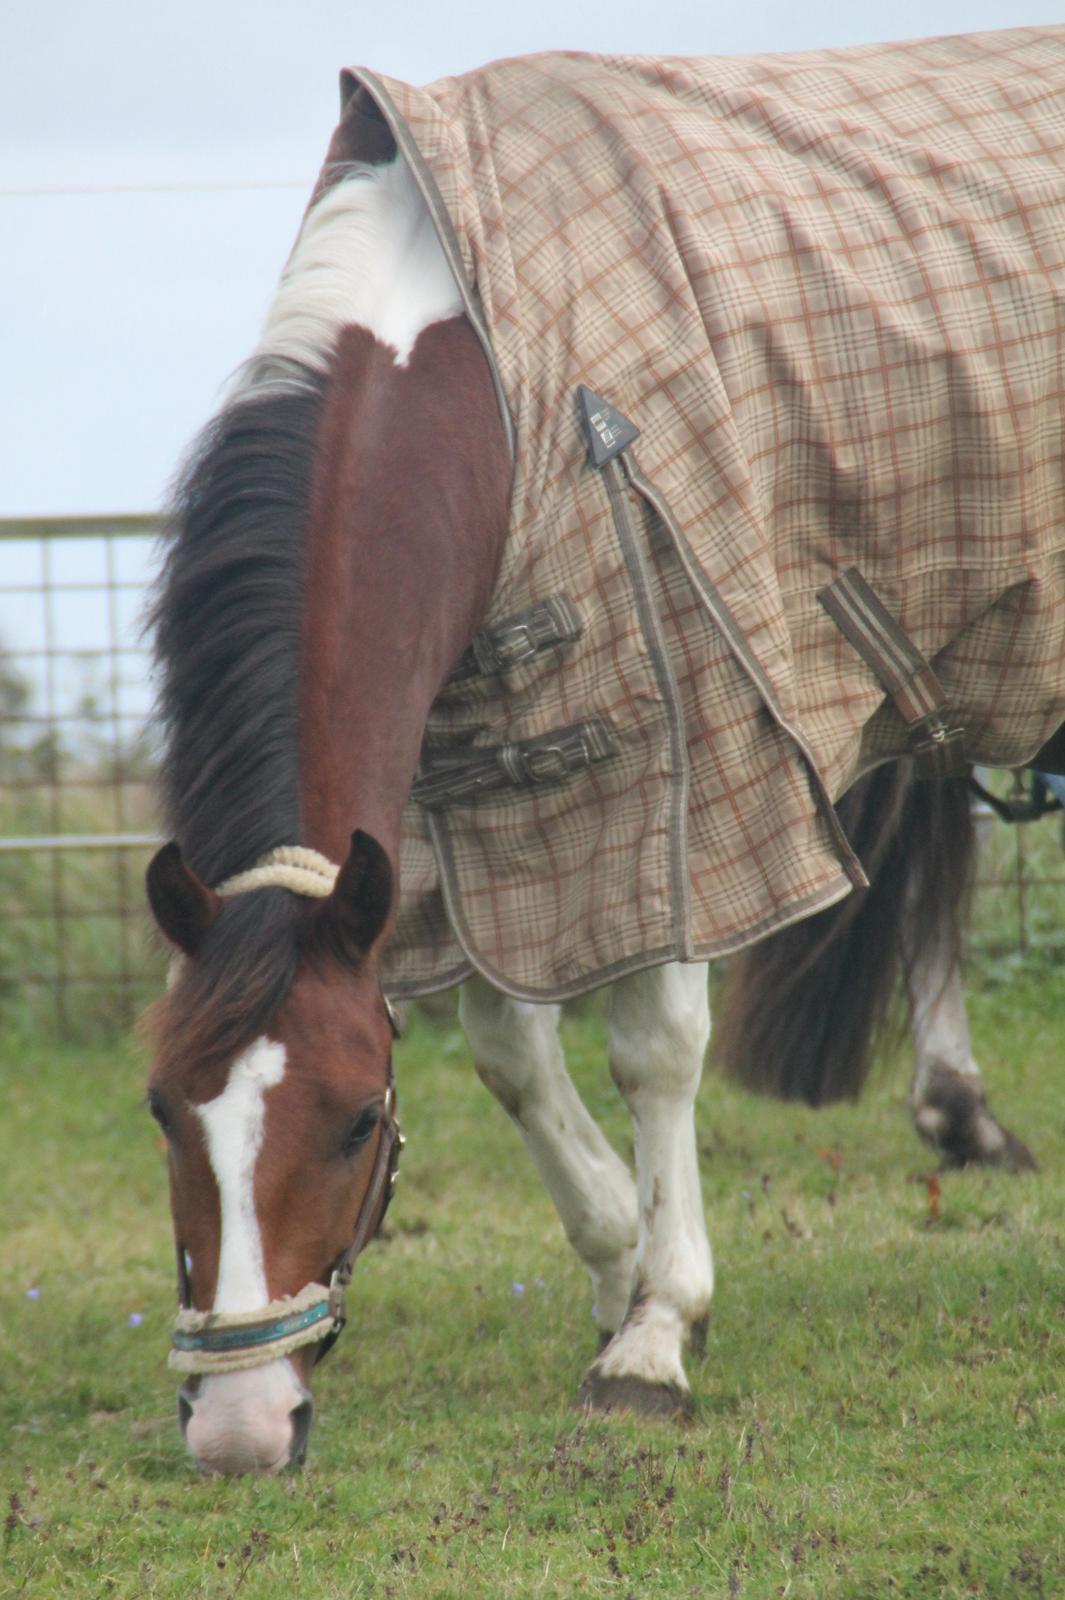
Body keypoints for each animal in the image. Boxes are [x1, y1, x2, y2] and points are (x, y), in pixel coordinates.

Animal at [143, 31, 1061, 1472]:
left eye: (355, 1121)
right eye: (166, 1111)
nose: (240, 1428)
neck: (482, 373)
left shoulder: (678, 760)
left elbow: (654, 1046)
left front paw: (656, 1330)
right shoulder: (472, 808)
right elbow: (510, 1052)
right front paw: (615, 1257)